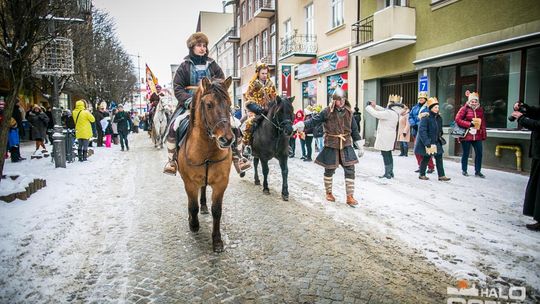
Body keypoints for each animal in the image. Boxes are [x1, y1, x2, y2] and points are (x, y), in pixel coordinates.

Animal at [177, 76, 234, 252]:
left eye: (229, 104)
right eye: (209, 105)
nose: (227, 139)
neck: (207, 151)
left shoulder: (221, 183)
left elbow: (217, 211)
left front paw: (217, 241)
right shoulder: (189, 183)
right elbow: (192, 205)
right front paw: (193, 224)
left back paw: (204, 206)